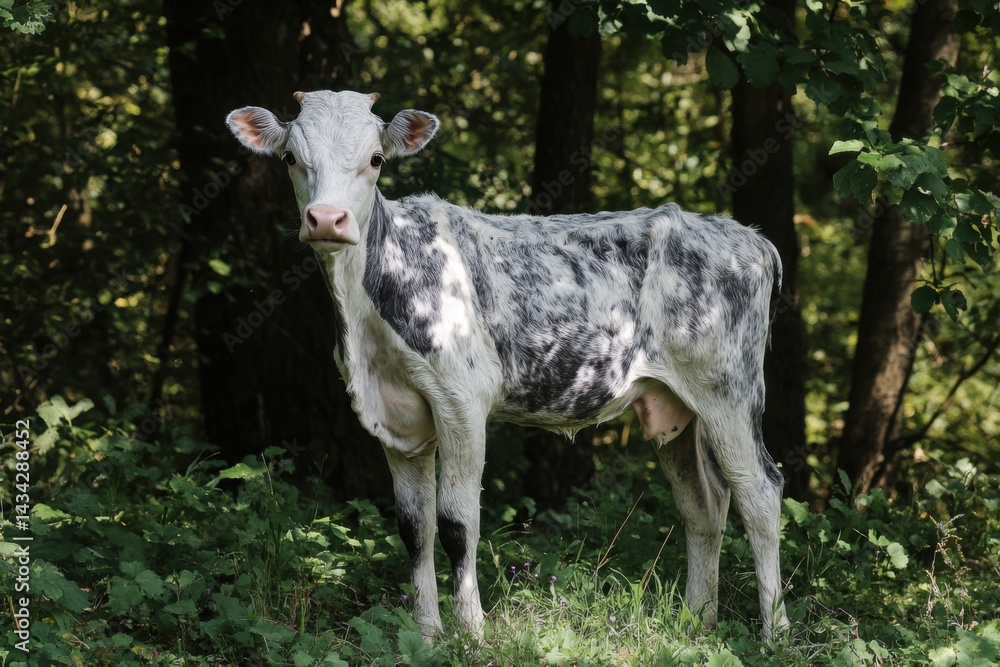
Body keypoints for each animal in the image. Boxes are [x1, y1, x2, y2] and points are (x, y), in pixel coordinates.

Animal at [226, 90, 790, 641]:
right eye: (290, 158)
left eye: (376, 159)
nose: (326, 219)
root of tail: (747, 235)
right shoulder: (396, 418)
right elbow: (414, 528)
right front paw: (426, 634)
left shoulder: (461, 399)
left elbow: (457, 523)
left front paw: (472, 632)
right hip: (674, 405)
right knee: (704, 505)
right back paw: (699, 622)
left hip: (730, 390)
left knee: (760, 494)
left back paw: (775, 630)